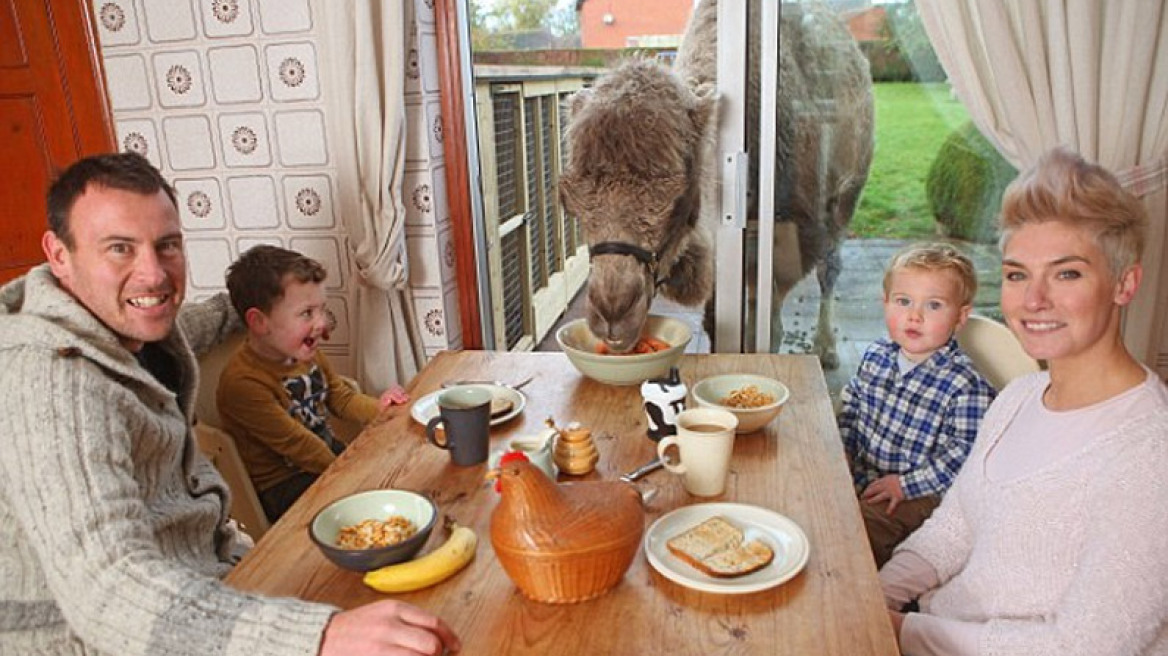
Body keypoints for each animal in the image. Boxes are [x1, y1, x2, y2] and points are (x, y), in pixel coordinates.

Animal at [560, 0, 873, 361]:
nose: (612, 311)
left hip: (848, 191)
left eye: (681, 203)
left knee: (830, 265)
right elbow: (716, 319)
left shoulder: (789, 234)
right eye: (571, 202)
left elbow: (769, 325)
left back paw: (827, 348)